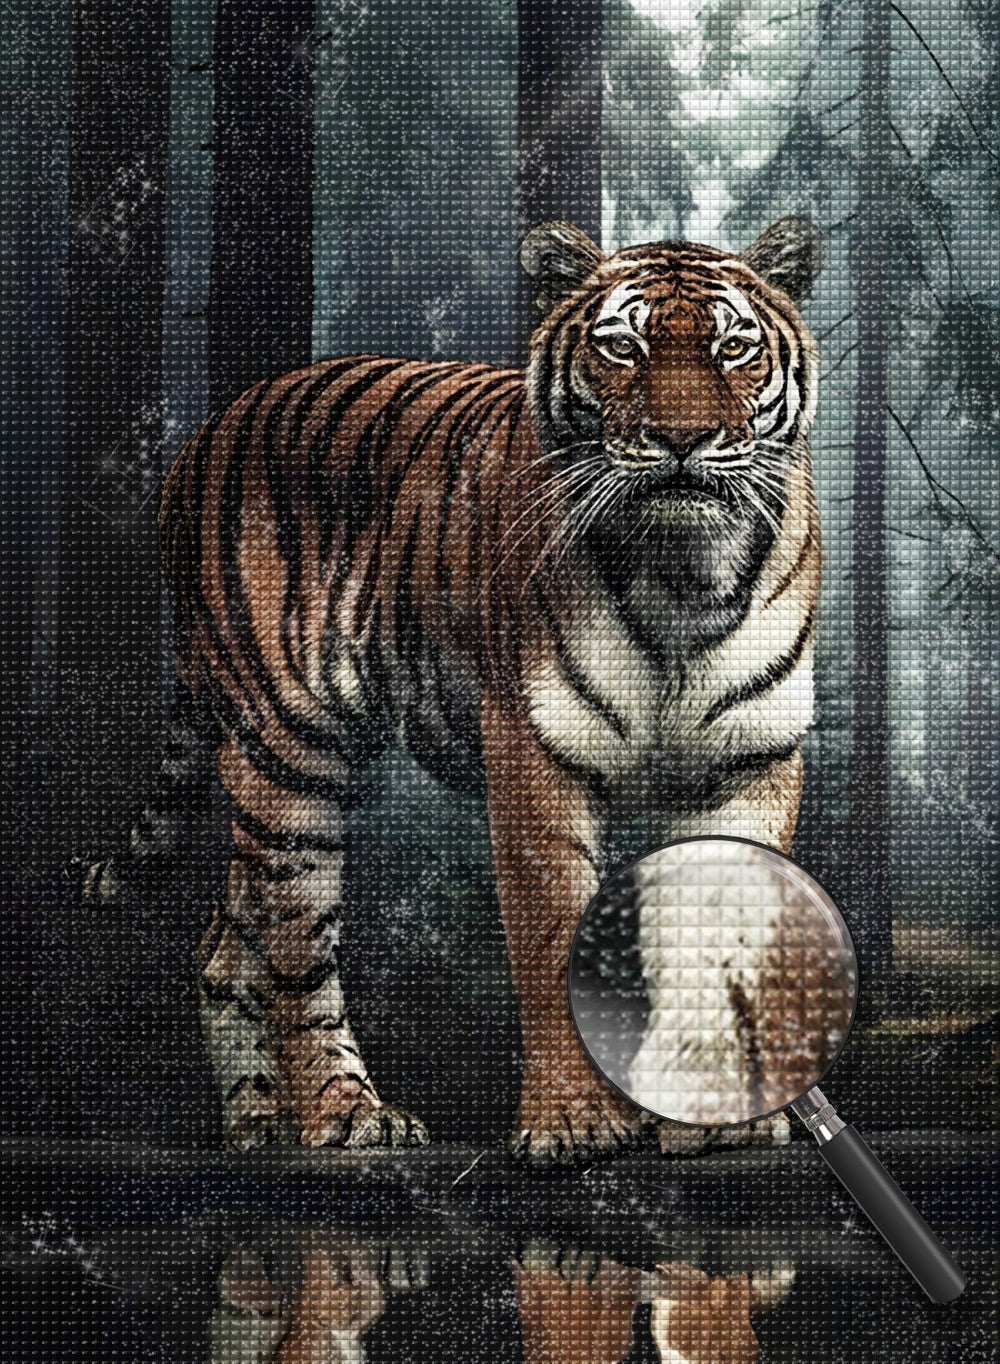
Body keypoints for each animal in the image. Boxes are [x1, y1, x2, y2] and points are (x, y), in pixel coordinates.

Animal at [154, 214, 822, 1164]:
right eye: (621, 347)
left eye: (734, 348)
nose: (682, 439)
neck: (683, 572)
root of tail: (204, 433)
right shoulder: (534, 747)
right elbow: (550, 941)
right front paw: (575, 1120)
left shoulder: (753, 756)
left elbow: (725, 946)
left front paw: (717, 1113)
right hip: (289, 757)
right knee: (293, 952)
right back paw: (343, 1116)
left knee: (223, 941)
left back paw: (255, 1124)